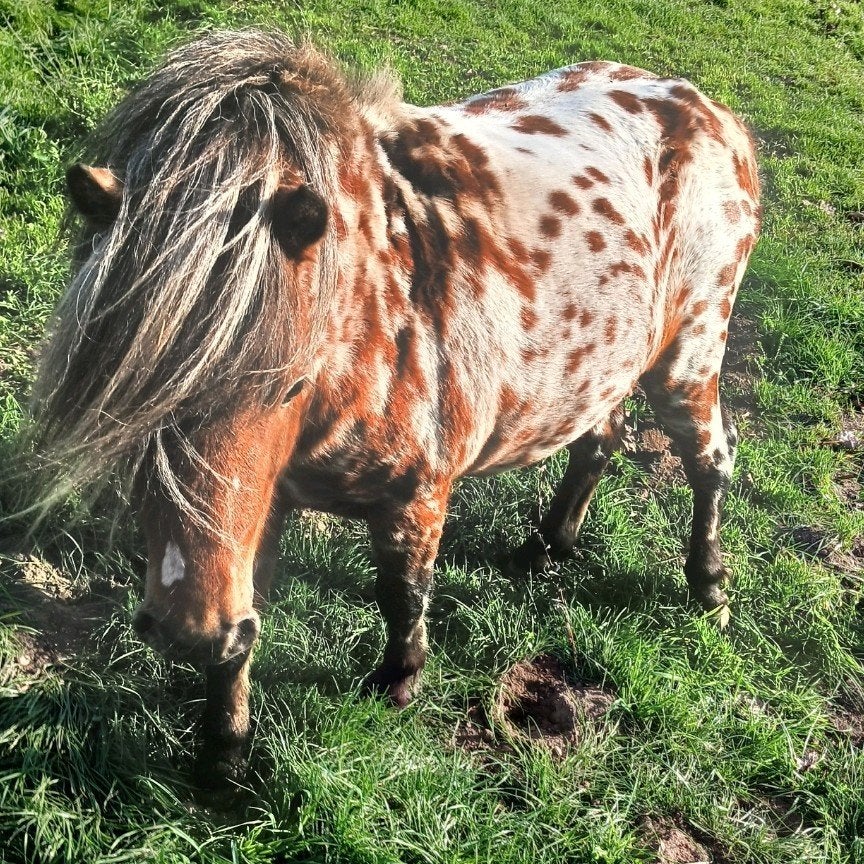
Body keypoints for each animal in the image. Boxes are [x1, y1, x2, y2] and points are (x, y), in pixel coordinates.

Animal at [33, 30, 760, 788]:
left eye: (290, 383)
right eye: (127, 396)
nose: (184, 631)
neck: (373, 307)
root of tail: (708, 111)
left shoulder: (417, 496)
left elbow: (402, 591)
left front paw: (398, 681)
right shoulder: (261, 508)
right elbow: (246, 624)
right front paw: (223, 751)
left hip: (688, 359)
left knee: (709, 462)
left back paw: (710, 588)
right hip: (602, 366)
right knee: (599, 438)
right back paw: (548, 545)